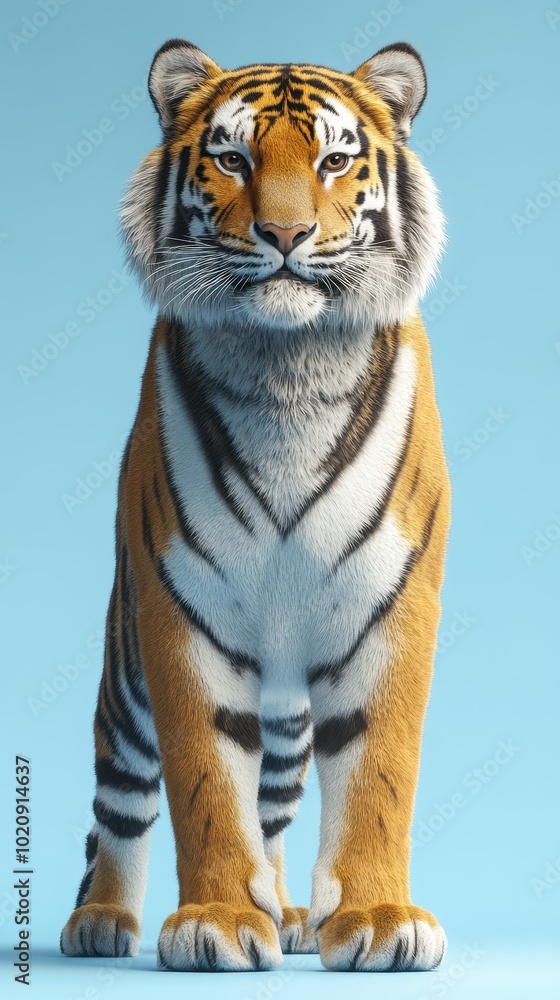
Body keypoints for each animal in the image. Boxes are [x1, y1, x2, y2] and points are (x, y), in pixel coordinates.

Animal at [60, 38, 451, 973]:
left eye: (334, 161)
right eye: (233, 159)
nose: (284, 235)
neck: (289, 371)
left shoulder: (392, 605)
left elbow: (378, 773)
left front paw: (377, 920)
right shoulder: (179, 611)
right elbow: (204, 779)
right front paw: (216, 922)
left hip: (286, 713)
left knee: (272, 802)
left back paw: (289, 912)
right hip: (124, 675)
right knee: (121, 799)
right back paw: (101, 920)